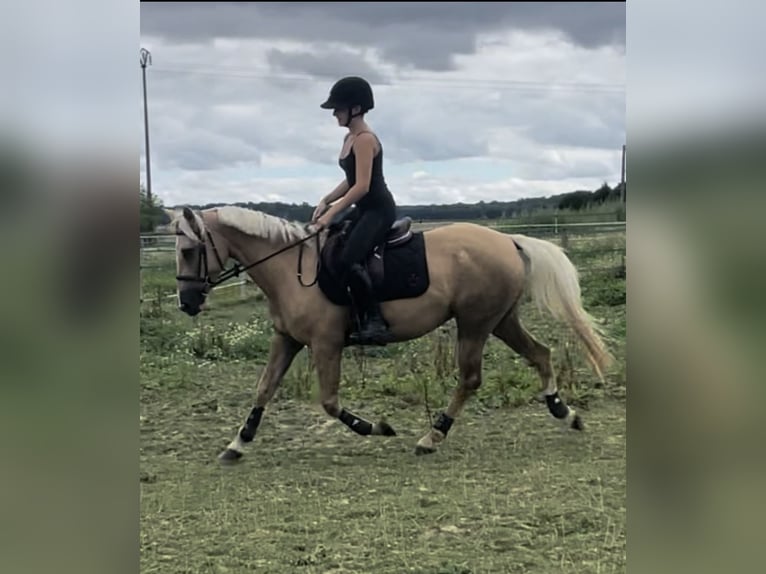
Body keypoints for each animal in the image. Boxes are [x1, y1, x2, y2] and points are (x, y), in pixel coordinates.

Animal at [168, 205, 612, 466]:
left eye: (189, 250)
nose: (187, 302)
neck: (292, 270)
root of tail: (506, 239)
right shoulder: (287, 339)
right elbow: (263, 389)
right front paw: (238, 444)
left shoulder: (326, 344)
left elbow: (329, 402)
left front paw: (377, 428)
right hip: (500, 320)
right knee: (541, 353)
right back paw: (564, 412)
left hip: (474, 324)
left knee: (470, 378)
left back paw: (432, 436)